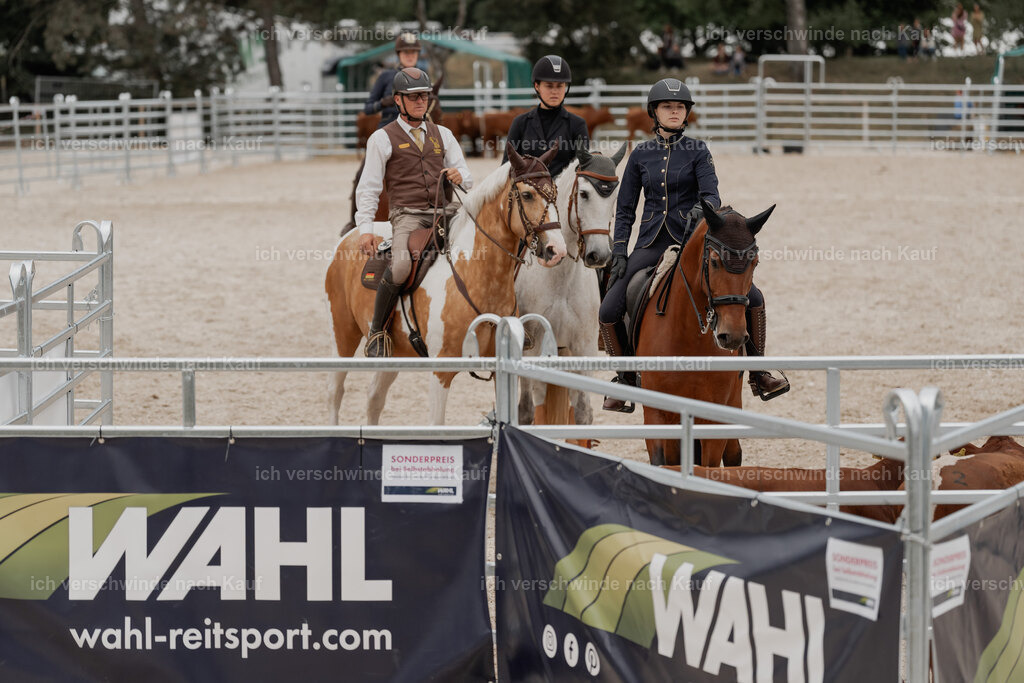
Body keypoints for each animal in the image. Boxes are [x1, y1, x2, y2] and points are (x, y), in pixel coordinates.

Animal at [326, 144, 568, 425]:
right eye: (527, 195)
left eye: (555, 193)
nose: (556, 250)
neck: (474, 277)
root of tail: (350, 236)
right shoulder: (440, 371)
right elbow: (437, 425)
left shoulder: (500, 371)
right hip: (343, 335)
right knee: (335, 392)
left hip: (396, 352)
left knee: (374, 398)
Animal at [516, 145, 627, 434]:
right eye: (584, 194)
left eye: (614, 197)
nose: (599, 255)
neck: (560, 280)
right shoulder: (536, 349)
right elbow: (538, 411)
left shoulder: (583, 347)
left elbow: (582, 413)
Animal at [636, 198, 775, 468]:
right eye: (714, 261)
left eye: (755, 263)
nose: (732, 336)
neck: (688, 338)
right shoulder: (656, 413)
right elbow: (661, 462)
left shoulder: (713, 416)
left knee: (733, 454)